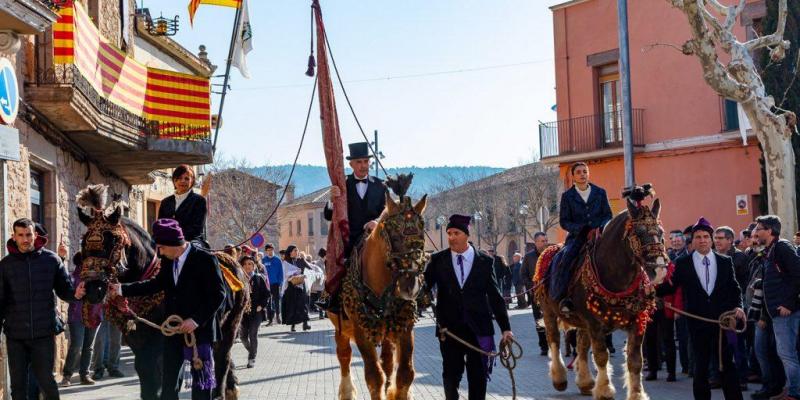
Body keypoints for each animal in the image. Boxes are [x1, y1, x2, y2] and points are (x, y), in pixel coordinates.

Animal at [76, 185, 250, 400]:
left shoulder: (162, 342)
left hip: (231, 324)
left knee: (222, 358)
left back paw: (220, 392)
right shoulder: (138, 342)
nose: (93, 289)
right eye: (83, 242)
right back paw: (231, 387)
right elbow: (147, 379)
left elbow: (164, 378)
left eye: (114, 240)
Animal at [328, 175, 428, 400]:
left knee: (388, 361)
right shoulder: (360, 329)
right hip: (341, 327)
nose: (410, 286)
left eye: (421, 237)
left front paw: (398, 393)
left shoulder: (405, 326)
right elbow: (374, 376)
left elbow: (405, 374)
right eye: (395, 235)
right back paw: (347, 391)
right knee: (344, 356)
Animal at [536, 196, 668, 400]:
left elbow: (635, 360)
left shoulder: (638, 322)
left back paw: (585, 382)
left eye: (661, 232)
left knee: (581, 345)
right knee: (554, 340)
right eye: (638, 233)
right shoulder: (595, 324)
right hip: (549, 311)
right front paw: (605, 390)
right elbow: (601, 355)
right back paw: (559, 378)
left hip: (582, 322)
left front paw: (637, 393)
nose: (660, 269)